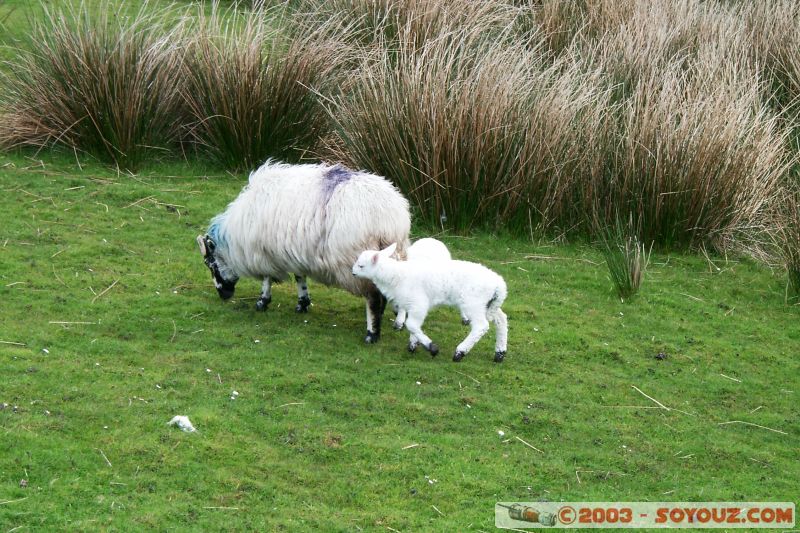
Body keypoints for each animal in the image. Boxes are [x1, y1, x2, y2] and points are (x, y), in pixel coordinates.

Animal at [197, 158, 410, 342]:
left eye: (210, 264)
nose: (223, 295)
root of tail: (389, 218)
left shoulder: (264, 252)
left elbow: (267, 279)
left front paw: (262, 302)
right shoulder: (295, 252)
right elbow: (300, 277)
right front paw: (302, 303)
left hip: (357, 262)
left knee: (373, 298)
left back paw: (371, 333)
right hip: (394, 255)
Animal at [354, 243, 510, 364]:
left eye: (361, 266)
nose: (353, 272)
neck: (396, 275)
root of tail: (499, 284)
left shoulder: (419, 303)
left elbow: (411, 325)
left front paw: (431, 348)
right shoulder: (412, 305)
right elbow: (413, 326)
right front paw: (413, 344)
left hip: (473, 302)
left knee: (481, 326)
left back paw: (460, 353)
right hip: (488, 304)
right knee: (501, 319)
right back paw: (500, 353)